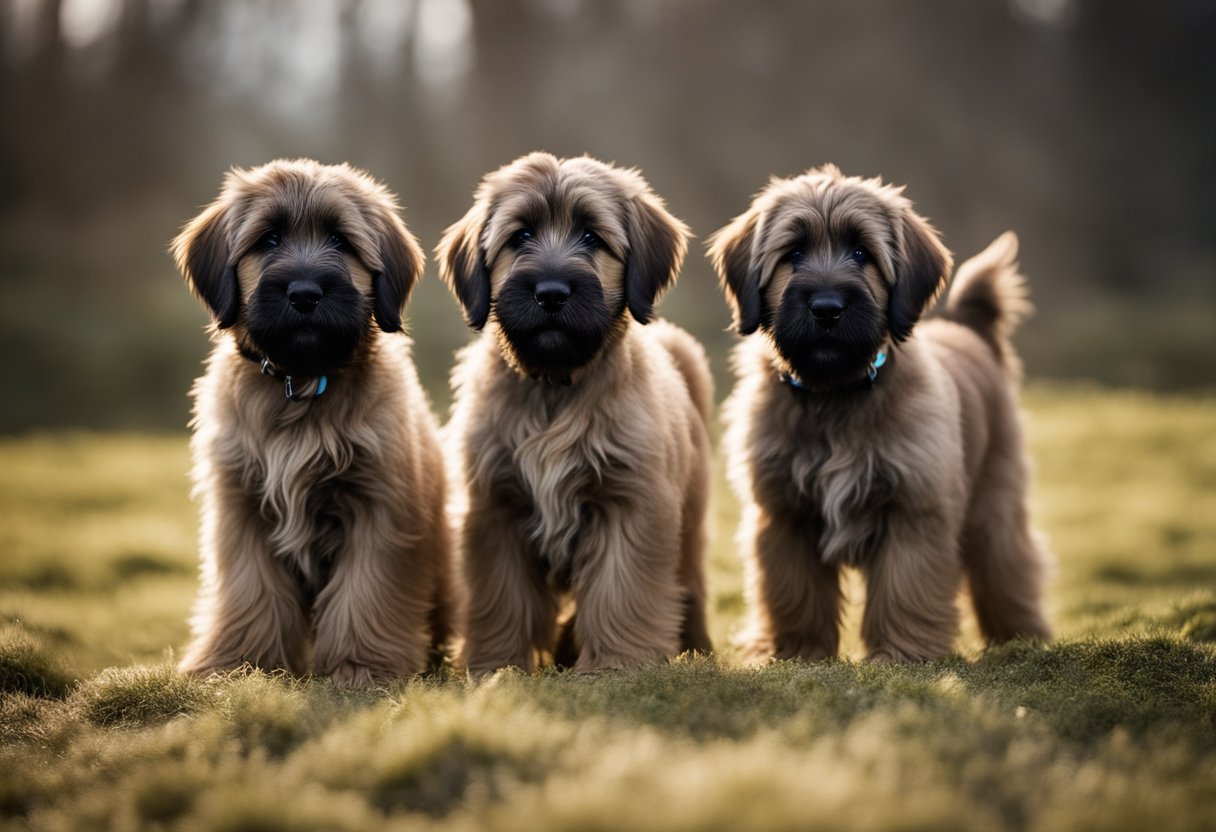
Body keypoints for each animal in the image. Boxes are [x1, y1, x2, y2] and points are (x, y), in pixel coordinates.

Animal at [171, 159, 452, 686]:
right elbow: (250, 592)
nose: (304, 293)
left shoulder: (378, 507)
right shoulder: (243, 508)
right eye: (269, 239)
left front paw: (362, 666)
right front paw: (235, 663)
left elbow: (366, 593)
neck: (302, 384)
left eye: (341, 241)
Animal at [437, 150, 710, 676]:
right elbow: (501, 597)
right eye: (520, 236)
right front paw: (497, 665)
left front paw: (617, 663)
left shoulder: (631, 502)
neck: (554, 388)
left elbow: (622, 590)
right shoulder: (496, 508)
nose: (551, 292)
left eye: (592, 238)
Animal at [710, 164, 1050, 661]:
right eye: (794, 252)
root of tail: (970, 328)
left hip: (995, 504)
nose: (826, 308)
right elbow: (793, 591)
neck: (835, 394)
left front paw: (901, 653)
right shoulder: (784, 514)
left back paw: (1022, 636)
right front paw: (796, 651)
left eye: (861, 253)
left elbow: (905, 586)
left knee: (1011, 569)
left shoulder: (913, 508)